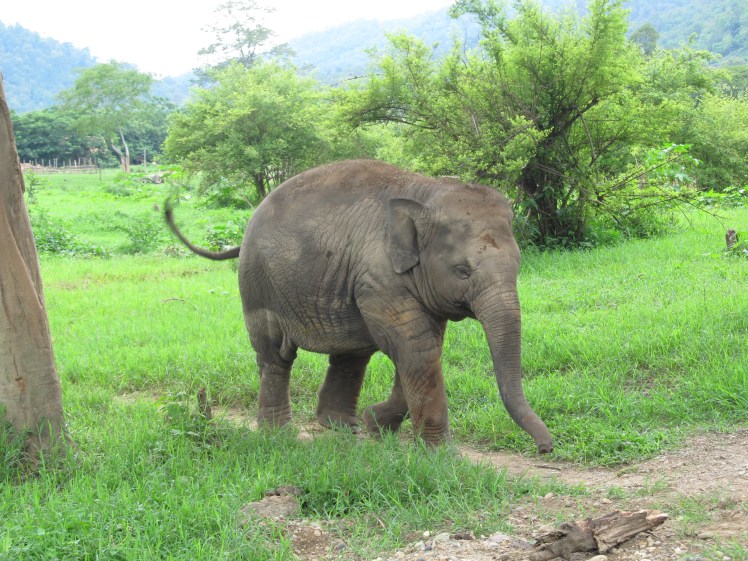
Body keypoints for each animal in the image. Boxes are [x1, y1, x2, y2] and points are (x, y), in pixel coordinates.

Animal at [165, 159, 552, 453]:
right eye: (462, 271)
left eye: (519, 265)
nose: (545, 448)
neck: (425, 192)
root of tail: (245, 229)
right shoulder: (378, 277)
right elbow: (417, 346)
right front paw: (441, 456)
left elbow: (423, 346)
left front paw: (377, 425)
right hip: (258, 285)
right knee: (276, 355)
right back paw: (280, 435)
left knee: (351, 354)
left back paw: (341, 429)